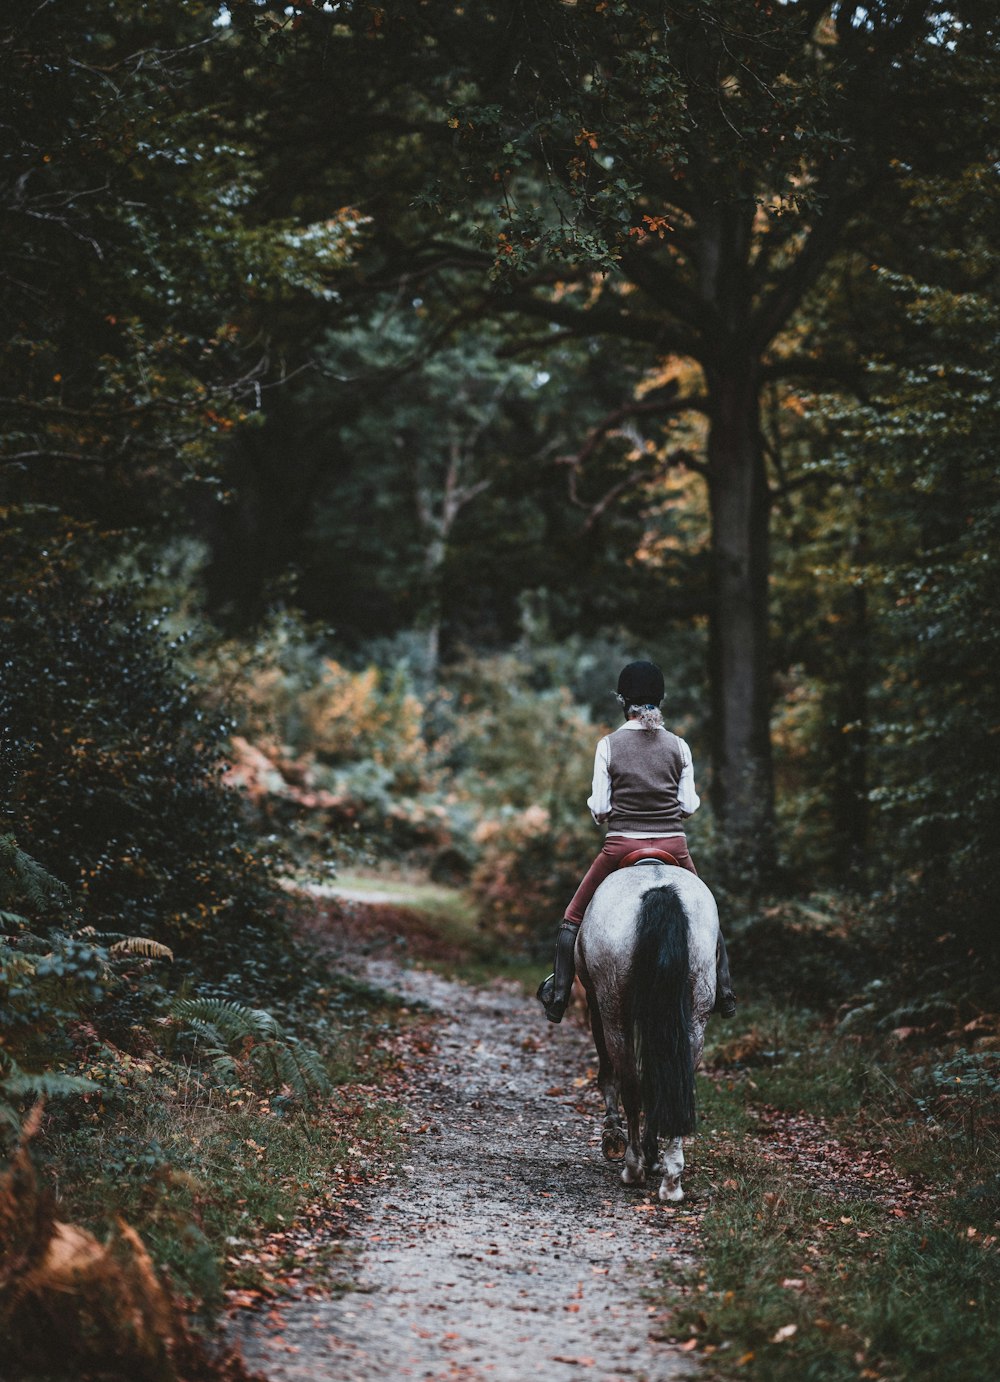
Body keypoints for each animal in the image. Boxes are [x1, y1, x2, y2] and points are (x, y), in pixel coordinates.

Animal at [569, 862, 718, 1199]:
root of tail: (659, 889)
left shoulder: (595, 1004)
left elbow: (610, 1075)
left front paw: (612, 1135)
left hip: (614, 1014)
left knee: (631, 1084)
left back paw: (634, 1166)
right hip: (694, 1019)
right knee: (675, 1083)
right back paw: (671, 1178)